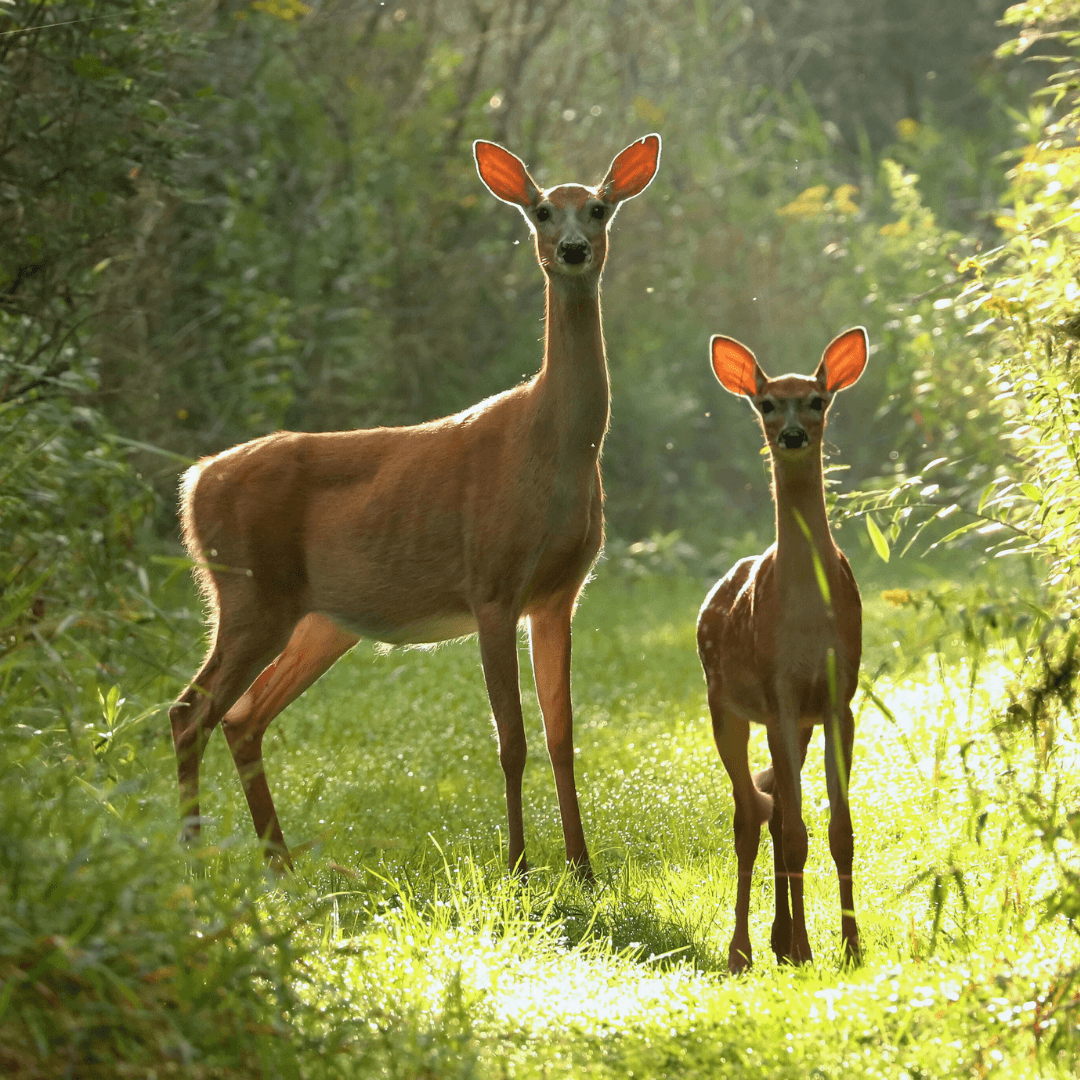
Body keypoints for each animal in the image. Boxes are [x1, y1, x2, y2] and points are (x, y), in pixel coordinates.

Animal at [170, 135, 656, 876]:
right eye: (542, 210)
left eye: (599, 208)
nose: (573, 249)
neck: (552, 445)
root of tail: (194, 484)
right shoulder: (492, 582)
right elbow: (511, 740)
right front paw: (518, 865)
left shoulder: (558, 594)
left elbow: (561, 735)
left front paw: (583, 867)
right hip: (250, 592)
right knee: (188, 711)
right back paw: (196, 862)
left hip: (320, 619)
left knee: (241, 715)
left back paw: (280, 866)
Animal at [699, 326, 868, 972]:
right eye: (767, 403)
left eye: (817, 400)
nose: (793, 434)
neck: (807, 618)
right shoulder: (779, 694)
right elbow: (796, 830)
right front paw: (807, 946)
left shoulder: (838, 698)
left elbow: (839, 831)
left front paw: (850, 947)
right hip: (724, 705)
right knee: (751, 813)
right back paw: (745, 949)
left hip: (792, 719)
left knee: (770, 809)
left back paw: (778, 940)